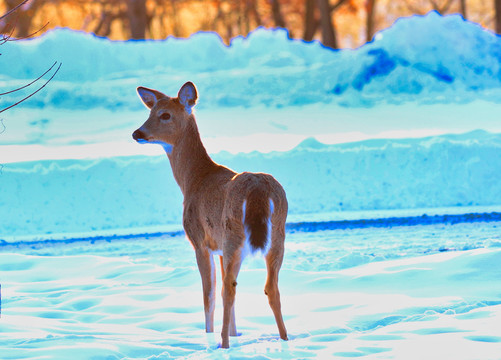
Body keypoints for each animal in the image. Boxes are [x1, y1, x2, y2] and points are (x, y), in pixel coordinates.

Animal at [133, 82, 288, 348]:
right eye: (150, 112)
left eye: (165, 115)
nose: (137, 133)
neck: (193, 179)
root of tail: (258, 189)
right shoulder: (219, 248)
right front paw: (236, 334)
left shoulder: (200, 242)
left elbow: (208, 294)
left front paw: (210, 335)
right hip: (277, 233)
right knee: (270, 288)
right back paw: (285, 339)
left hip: (233, 232)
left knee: (228, 288)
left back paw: (222, 344)